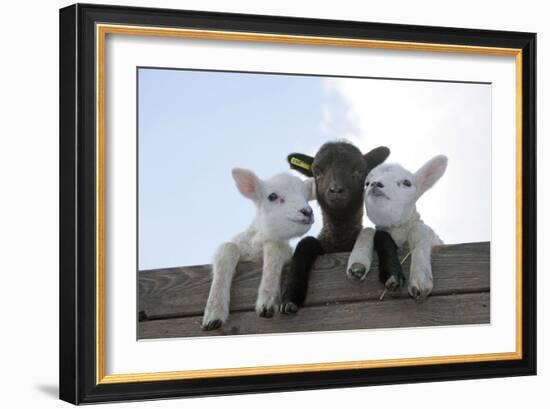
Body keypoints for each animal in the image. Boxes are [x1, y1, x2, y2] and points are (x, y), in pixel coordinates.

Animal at [203, 166, 316, 328]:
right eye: (272, 196)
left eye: (306, 197)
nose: (307, 211)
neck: (257, 244)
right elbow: (227, 248)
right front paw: (214, 313)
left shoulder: (282, 246)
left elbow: (275, 248)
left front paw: (267, 301)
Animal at [350, 155, 448, 298]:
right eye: (367, 183)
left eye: (407, 183)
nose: (375, 184)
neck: (397, 229)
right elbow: (369, 231)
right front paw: (358, 262)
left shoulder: (436, 240)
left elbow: (418, 229)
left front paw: (420, 278)